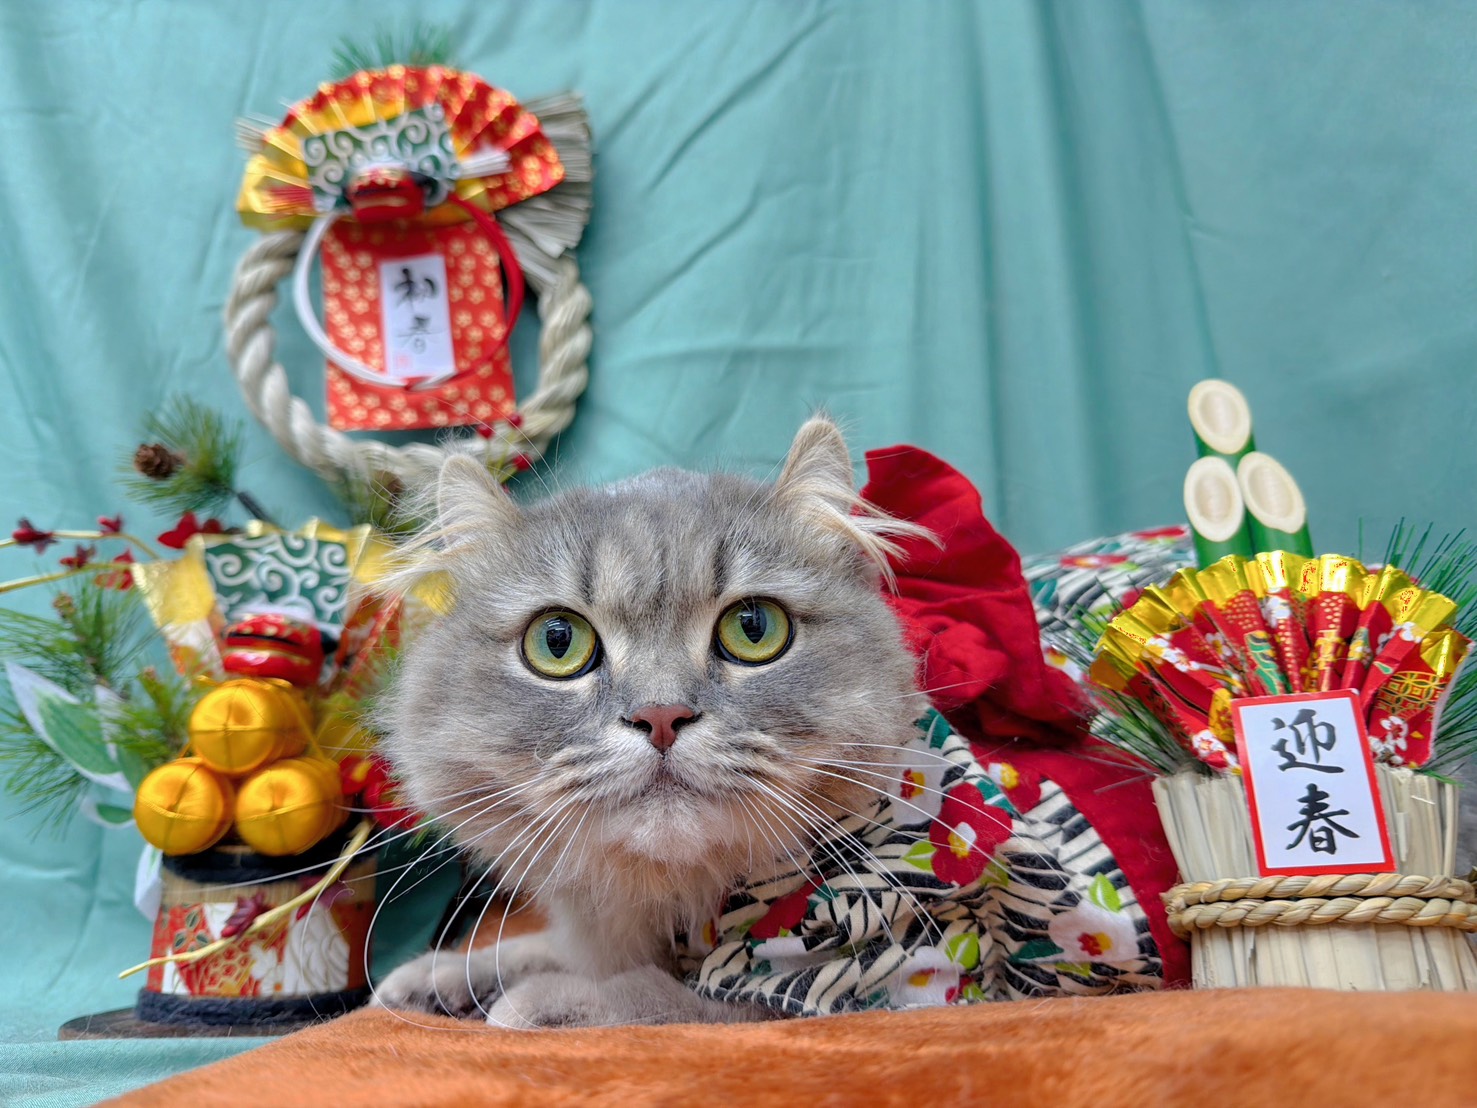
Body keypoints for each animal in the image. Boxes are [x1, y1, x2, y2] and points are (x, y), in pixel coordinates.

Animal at [374, 415, 934, 1028]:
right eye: (557, 640)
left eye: (754, 628)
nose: (661, 715)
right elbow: (535, 949)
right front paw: (435, 977)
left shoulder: (838, 992)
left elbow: (655, 997)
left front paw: (536, 1003)